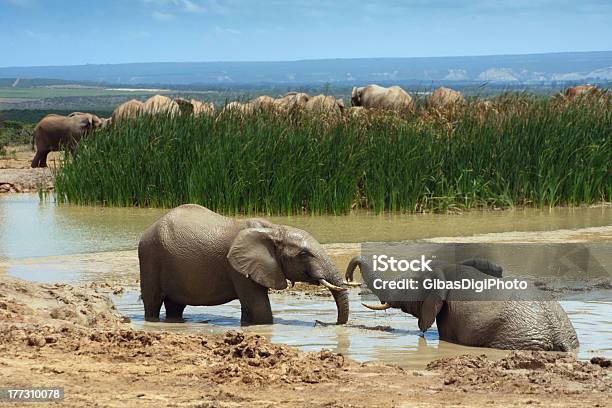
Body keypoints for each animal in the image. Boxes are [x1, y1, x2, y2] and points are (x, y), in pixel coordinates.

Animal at [139, 206, 350, 326]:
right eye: (304, 254)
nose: (332, 324)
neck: (274, 229)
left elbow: (249, 307)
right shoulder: (237, 267)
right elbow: (258, 306)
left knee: (175, 305)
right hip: (150, 256)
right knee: (153, 302)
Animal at [346, 255, 580, 350]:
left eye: (404, 285)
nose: (349, 276)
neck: (446, 268)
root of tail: (560, 337)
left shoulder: (448, 314)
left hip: (515, 338)